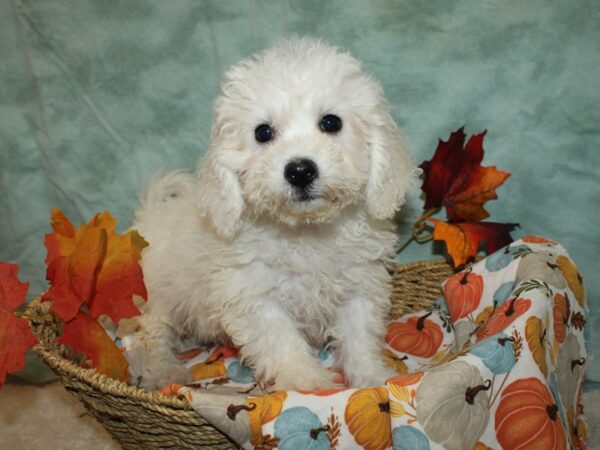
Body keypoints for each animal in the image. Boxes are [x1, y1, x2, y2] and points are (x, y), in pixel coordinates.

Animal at [132, 37, 418, 390]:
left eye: (331, 122)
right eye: (263, 132)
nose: (300, 170)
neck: (307, 232)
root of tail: (151, 213)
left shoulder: (359, 286)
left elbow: (359, 338)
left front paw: (372, 378)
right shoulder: (255, 297)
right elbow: (283, 344)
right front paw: (309, 384)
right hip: (157, 296)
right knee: (153, 334)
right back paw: (164, 371)